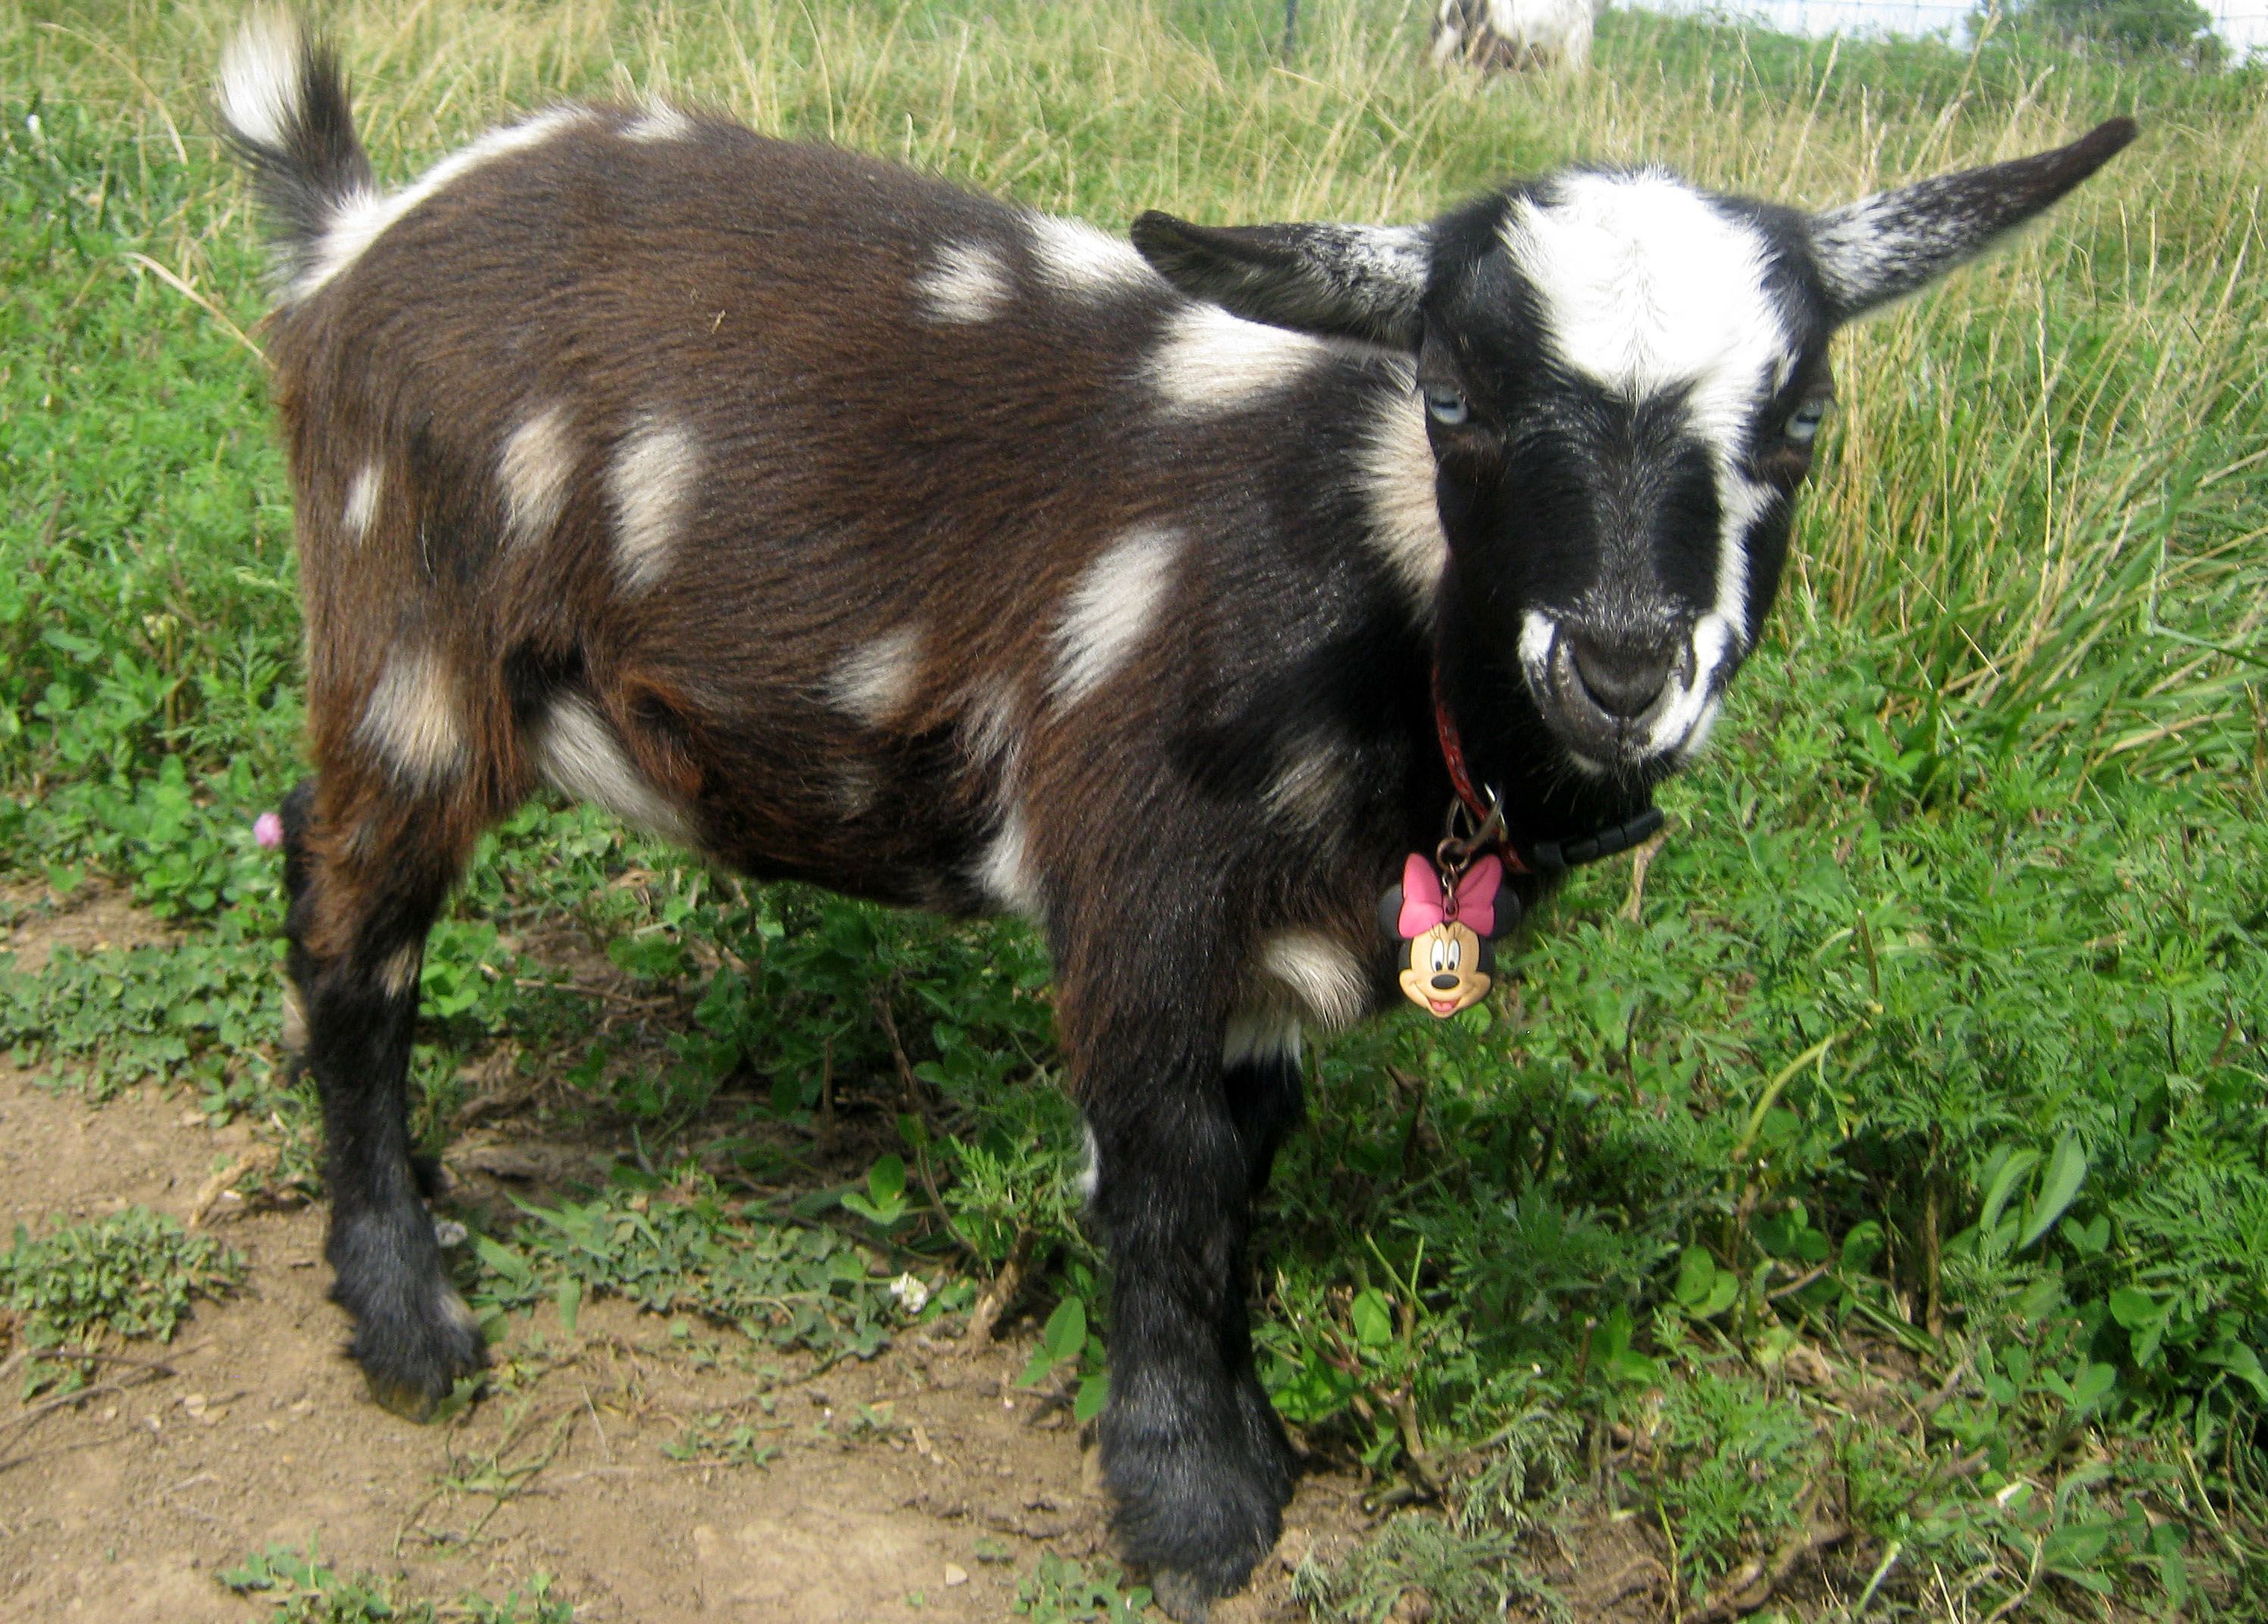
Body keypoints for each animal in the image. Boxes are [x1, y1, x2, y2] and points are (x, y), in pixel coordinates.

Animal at [217, 15, 2131, 1616]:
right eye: (1450, 394)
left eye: (1798, 417)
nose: (1617, 666)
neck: (1369, 591)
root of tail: (356, 233)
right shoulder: (1137, 877)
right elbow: (1161, 1171)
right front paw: (1184, 1506)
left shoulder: (1268, 955)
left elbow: (1247, 1169)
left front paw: (1252, 1436)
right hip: (411, 644)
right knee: (349, 924)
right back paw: (405, 1311)